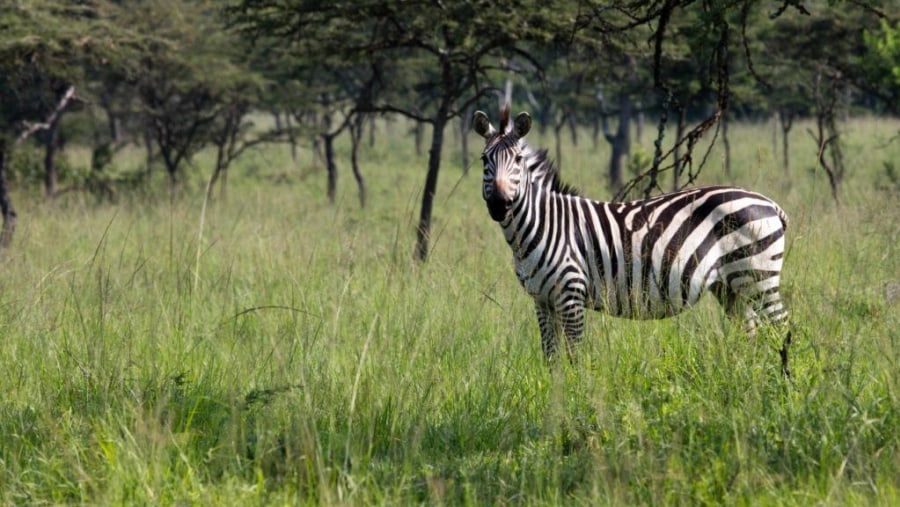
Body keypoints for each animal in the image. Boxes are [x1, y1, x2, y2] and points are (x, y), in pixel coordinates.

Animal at [474, 106, 792, 378]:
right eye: (484, 160)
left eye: (518, 160)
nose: (499, 205)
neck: (541, 224)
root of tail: (770, 203)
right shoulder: (542, 300)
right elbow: (551, 357)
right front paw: (555, 396)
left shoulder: (571, 293)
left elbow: (575, 356)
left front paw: (575, 397)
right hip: (731, 287)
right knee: (751, 333)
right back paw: (748, 379)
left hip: (759, 277)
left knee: (782, 329)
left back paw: (784, 386)